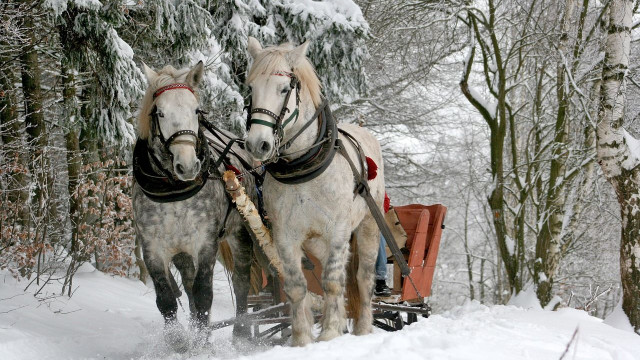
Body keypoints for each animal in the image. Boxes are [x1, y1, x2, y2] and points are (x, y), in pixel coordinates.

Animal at [244, 37, 384, 346]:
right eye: (251, 88)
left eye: (284, 89)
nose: (258, 144)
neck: (303, 166)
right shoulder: (285, 236)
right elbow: (297, 286)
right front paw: (302, 339)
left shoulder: (339, 231)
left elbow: (332, 282)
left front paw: (330, 332)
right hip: (316, 241)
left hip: (368, 225)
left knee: (362, 277)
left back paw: (363, 328)